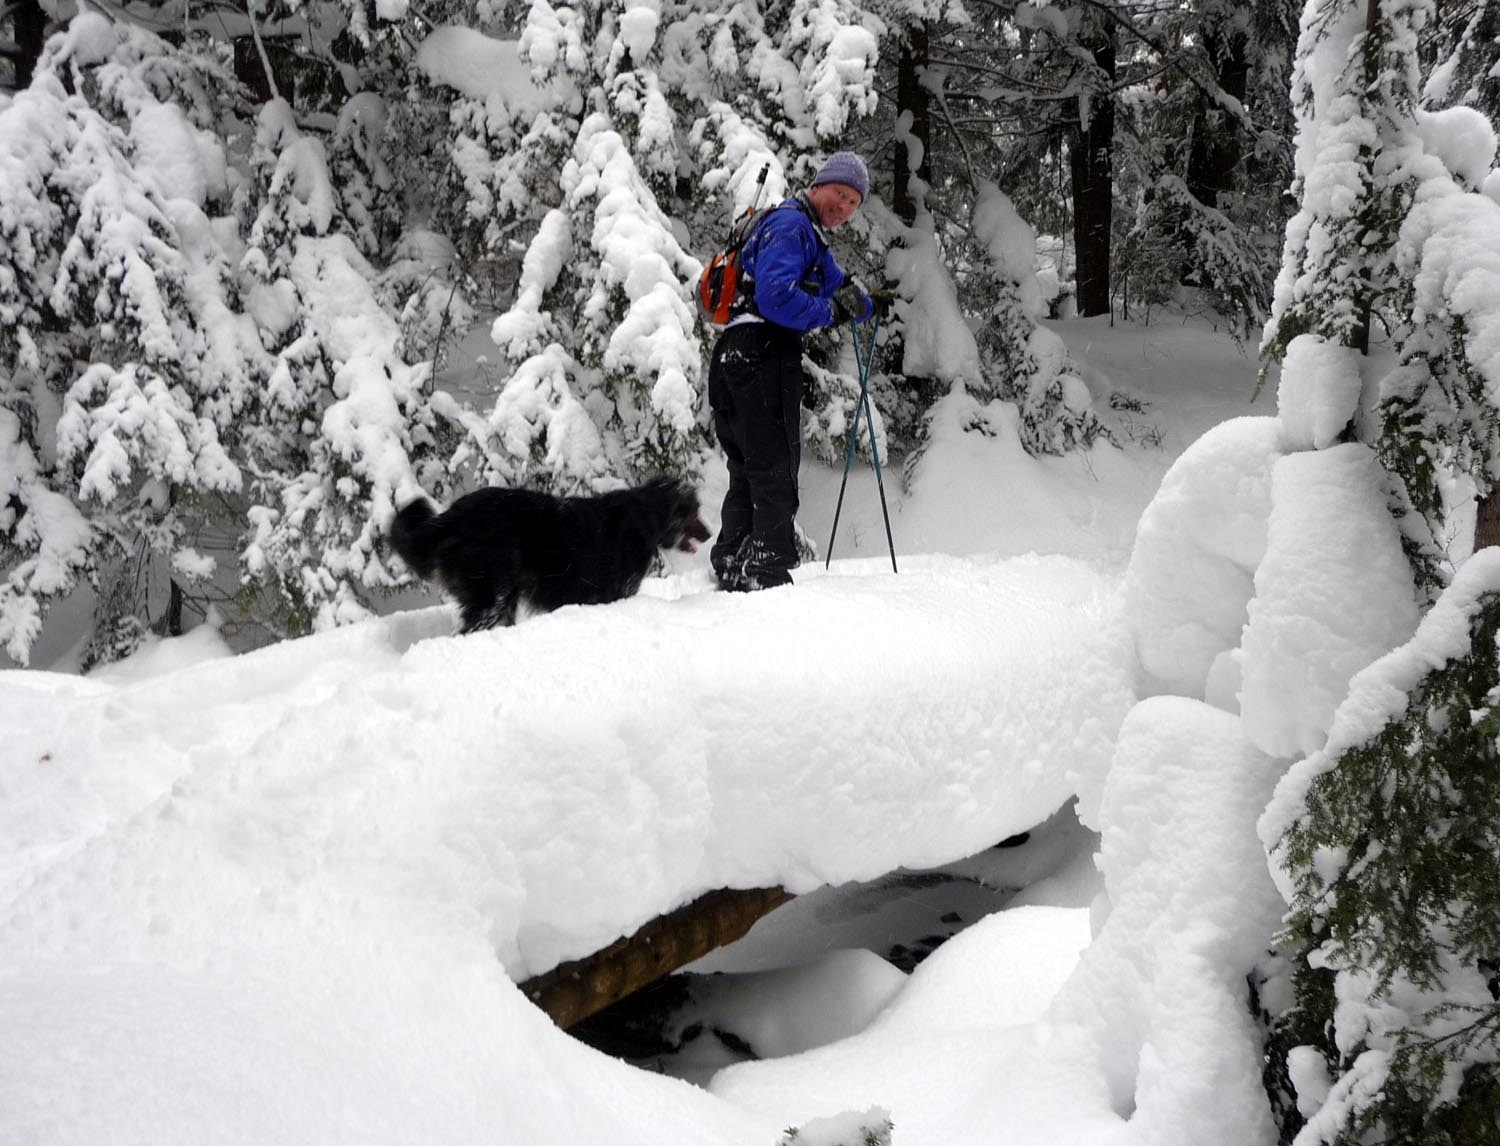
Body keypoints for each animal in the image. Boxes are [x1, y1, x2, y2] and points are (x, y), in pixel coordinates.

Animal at [393, 477, 708, 630]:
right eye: (693, 511)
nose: (708, 533)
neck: (644, 517)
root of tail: (451, 517)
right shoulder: (615, 593)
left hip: (503, 596)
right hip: (491, 594)